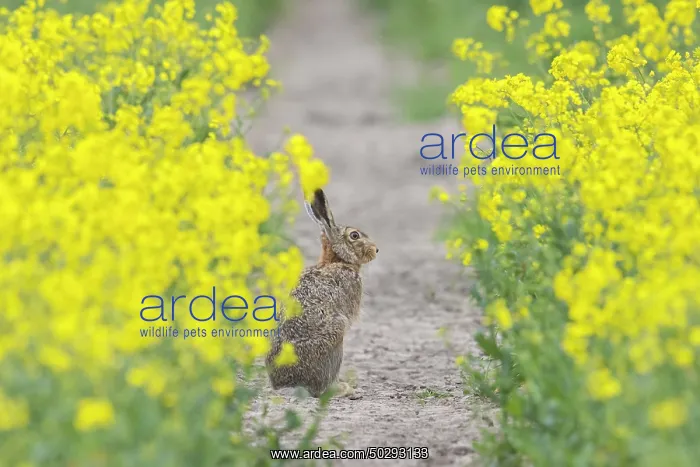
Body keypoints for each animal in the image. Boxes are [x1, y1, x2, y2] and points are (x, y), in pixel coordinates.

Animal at [265, 188, 378, 398]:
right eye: (355, 235)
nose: (376, 250)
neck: (337, 260)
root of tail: (288, 385)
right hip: (336, 335)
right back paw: (341, 389)